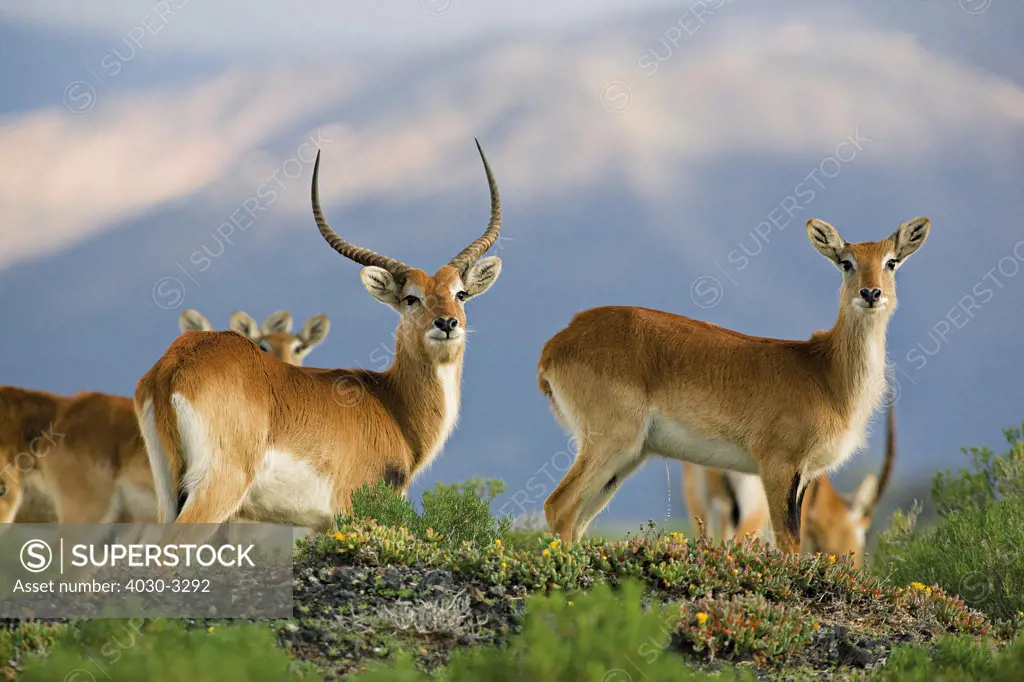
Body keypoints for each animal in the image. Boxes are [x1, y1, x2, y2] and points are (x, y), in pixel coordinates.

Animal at [136, 137, 503, 532]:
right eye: (410, 297)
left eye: (460, 294)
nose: (447, 323)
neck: (390, 404)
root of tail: (174, 365)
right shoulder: (355, 511)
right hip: (217, 489)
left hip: (167, 494)